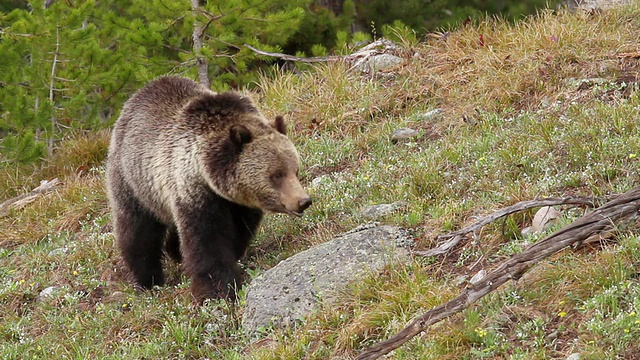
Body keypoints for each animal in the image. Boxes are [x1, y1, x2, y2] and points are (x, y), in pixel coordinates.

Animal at [106, 76, 312, 304]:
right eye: (277, 174)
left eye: (295, 169)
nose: (303, 201)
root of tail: (132, 101)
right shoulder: (193, 191)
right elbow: (207, 242)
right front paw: (218, 290)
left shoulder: (238, 204)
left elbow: (239, 230)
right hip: (133, 181)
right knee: (138, 232)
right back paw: (148, 279)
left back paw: (173, 250)